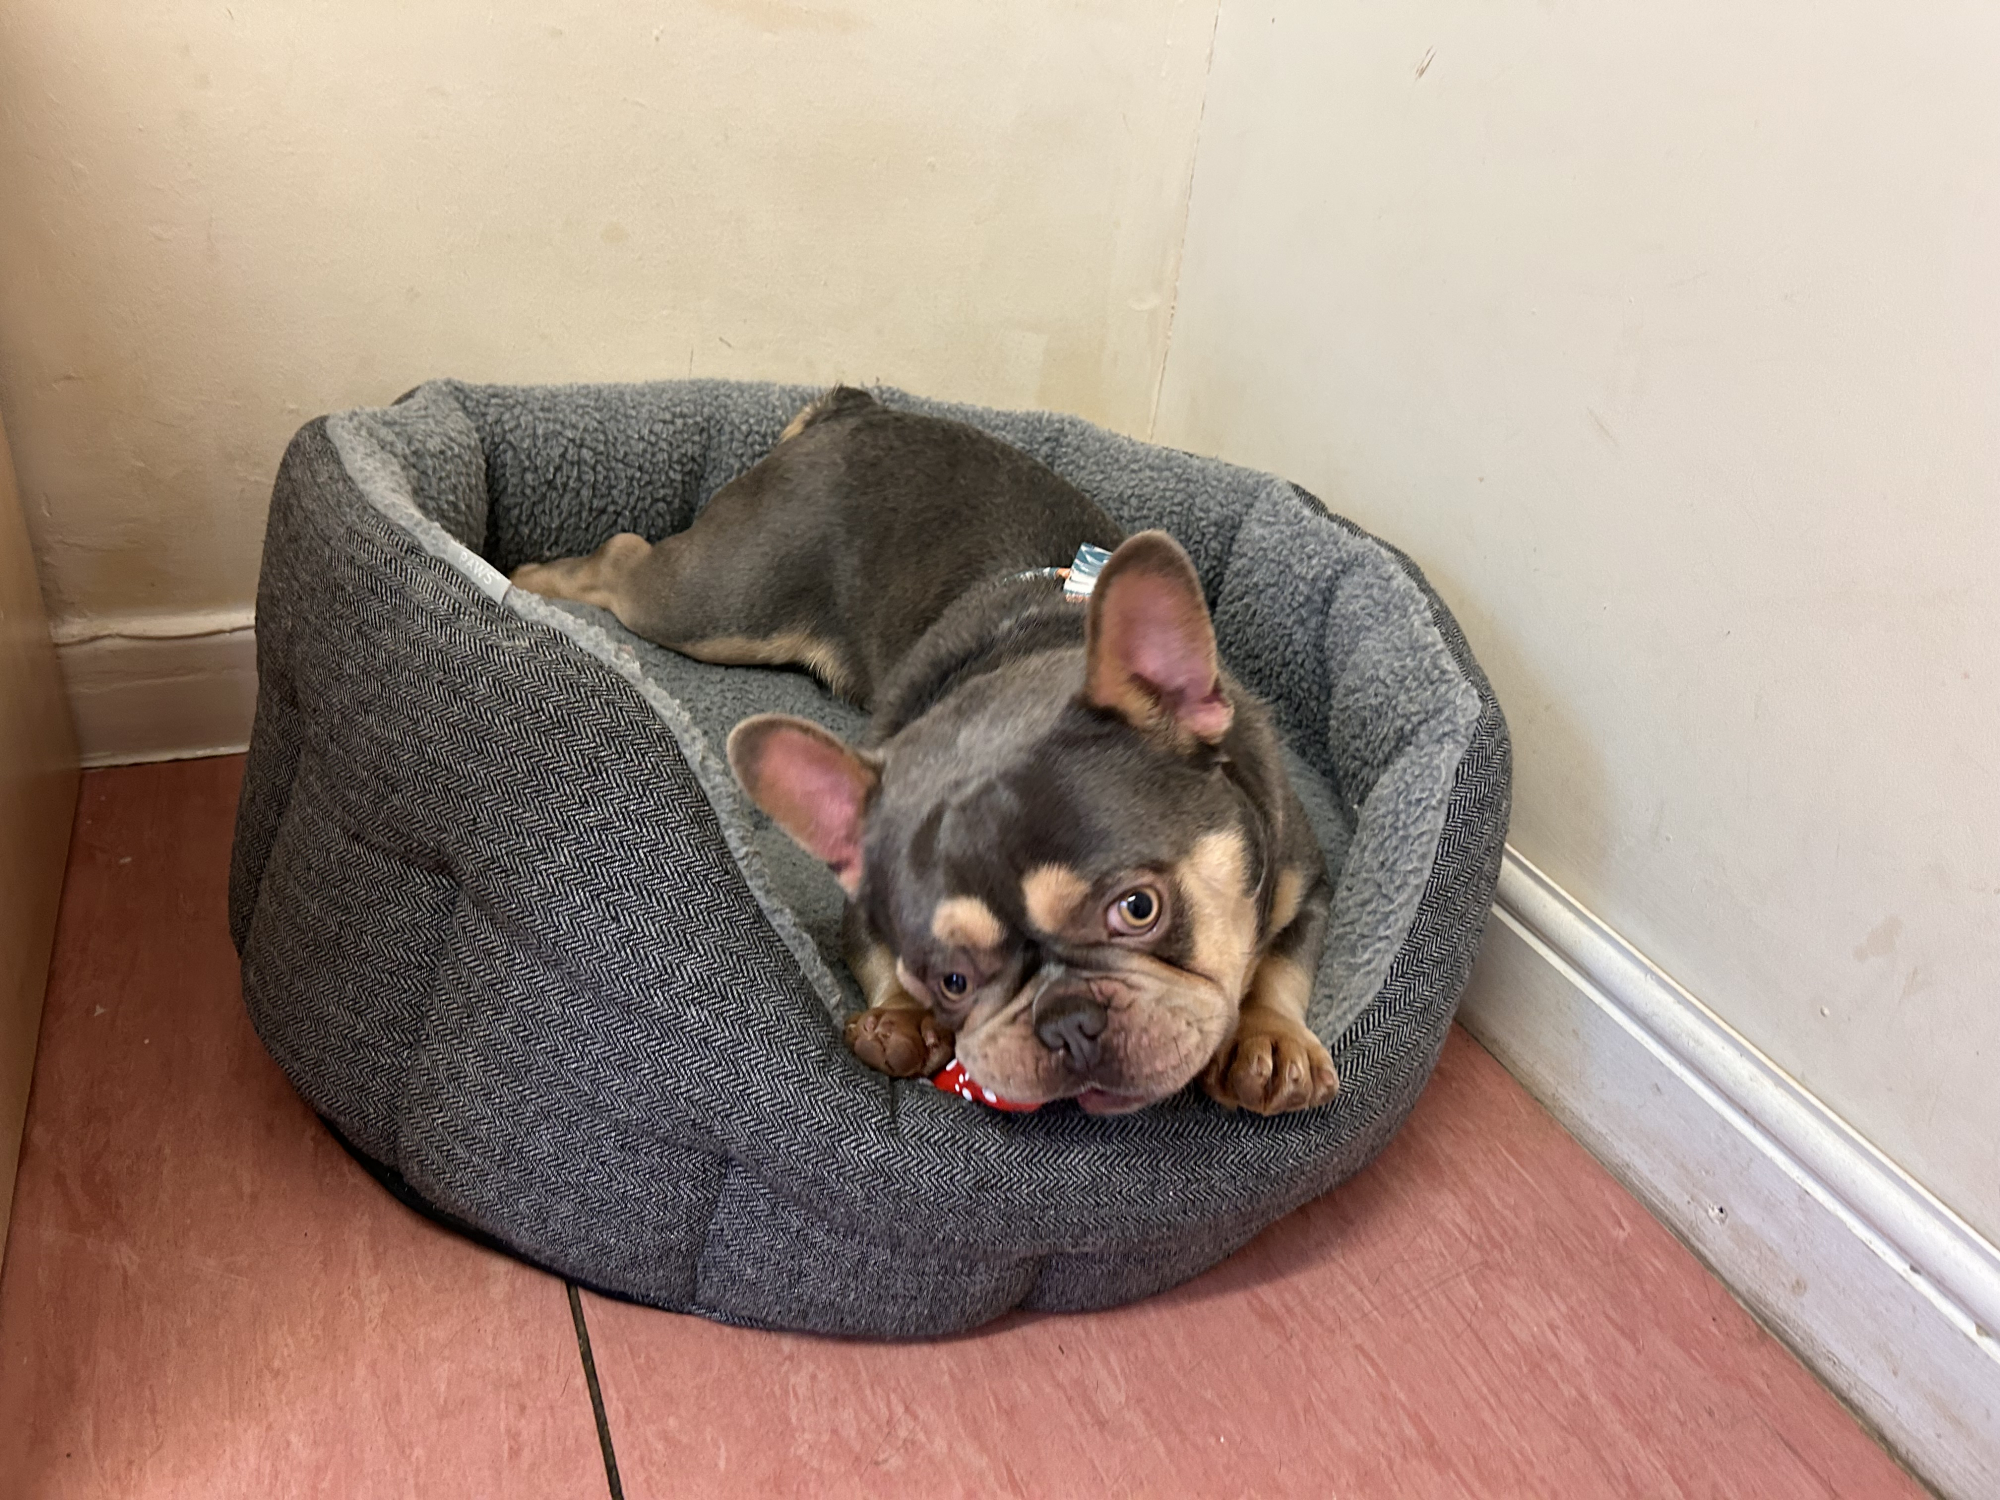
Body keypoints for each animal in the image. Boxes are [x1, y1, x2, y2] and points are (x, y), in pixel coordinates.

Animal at [510, 387, 1338, 1115]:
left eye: (1138, 908)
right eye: (951, 980)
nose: (1066, 1021)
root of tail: (854, 412)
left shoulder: (1305, 881)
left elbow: (1283, 963)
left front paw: (1271, 1041)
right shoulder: (861, 907)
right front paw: (901, 1017)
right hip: (717, 603)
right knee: (622, 557)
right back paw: (530, 578)